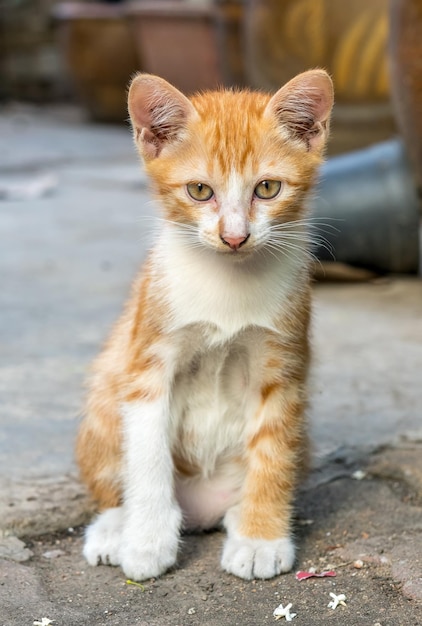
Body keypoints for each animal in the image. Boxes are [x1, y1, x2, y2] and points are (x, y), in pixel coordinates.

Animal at [76, 69, 332, 580]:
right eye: (199, 191)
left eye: (267, 188)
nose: (234, 237)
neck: (227, 284)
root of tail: (200, 512)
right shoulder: (148, 362)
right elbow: (147, 454)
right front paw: (146, 542)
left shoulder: (283, 365)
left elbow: (274, 451)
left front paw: (260, 538)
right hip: (107, 387)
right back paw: (116, 528)